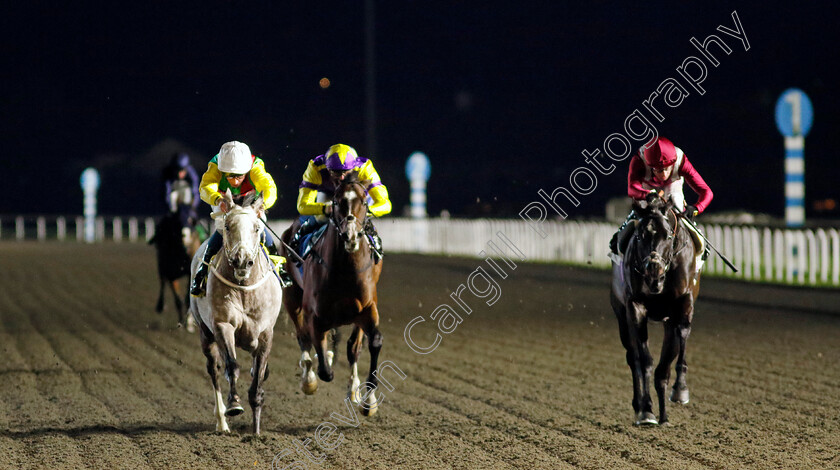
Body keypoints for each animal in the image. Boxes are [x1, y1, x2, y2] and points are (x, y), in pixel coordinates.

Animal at [189, 190, 284, 434]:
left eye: (257, 228)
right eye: (227, 226)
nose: (242, 260)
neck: (244, 290)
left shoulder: (265, 333)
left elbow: (259, 375)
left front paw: (256, 429)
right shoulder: (223, 326)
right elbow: (232, 366)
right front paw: (234, 404)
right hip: (205, 333)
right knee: (214, 369)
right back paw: (221, 422)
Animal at [282, 172, 388, 414]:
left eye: (364, 202)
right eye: (337, 201)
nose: (351, 235)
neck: (345, 271)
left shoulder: (367, 308)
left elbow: (372, 342)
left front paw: (369, 400)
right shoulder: (314, 315)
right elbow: (323, 367)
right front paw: (316, 374)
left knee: (352, 348)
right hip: (291, 296)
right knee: (303, 337)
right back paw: (309, 379)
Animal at [612, 196, 704, 424]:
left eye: (668, 235)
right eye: (640, 236)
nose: (654, 271)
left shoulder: (683, 303)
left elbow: (681, 338)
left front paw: (680, 391)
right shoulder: (635, 306)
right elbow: (644, 360)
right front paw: (646, 410)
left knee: (664, 364)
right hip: (621, 314)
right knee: (632, 357)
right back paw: (640, 405)